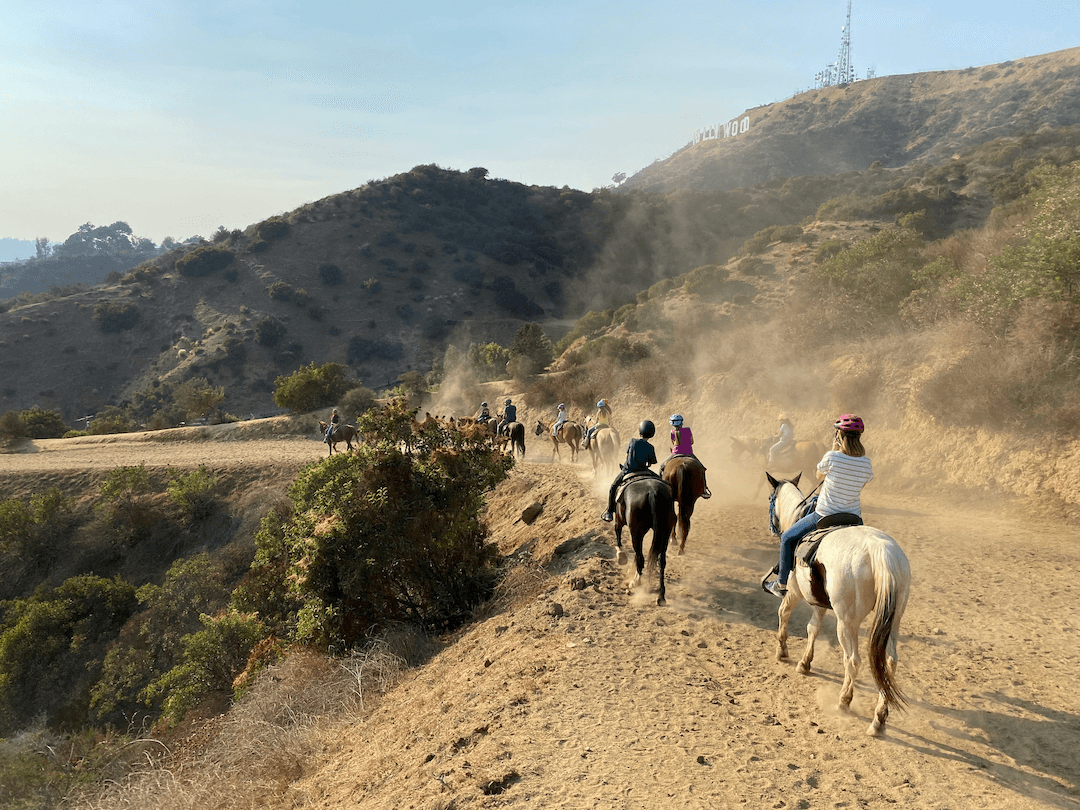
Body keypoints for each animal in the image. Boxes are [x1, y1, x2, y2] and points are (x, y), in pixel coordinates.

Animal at [768, 473, 911, 738]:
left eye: (771, 499)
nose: (772, 527)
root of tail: (880, 552)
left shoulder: (794, 592)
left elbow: (784, 613)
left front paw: (782, 651)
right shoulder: (819, 602)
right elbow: (812, 628)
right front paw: (805, 663)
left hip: (847, 621)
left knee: (853, 660)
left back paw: (844, 701)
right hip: (894, 619)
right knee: (890, 661)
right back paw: (879, 718)